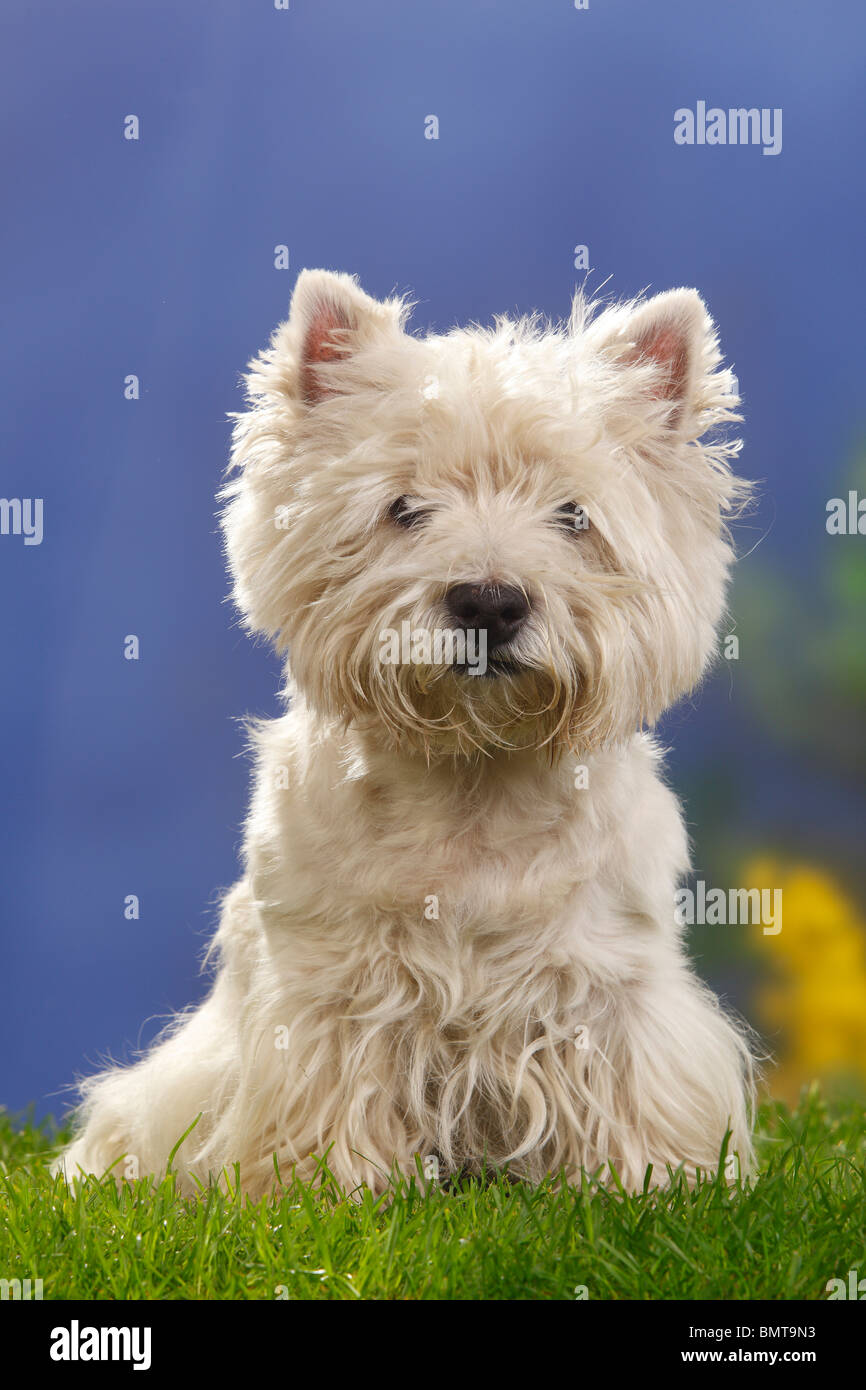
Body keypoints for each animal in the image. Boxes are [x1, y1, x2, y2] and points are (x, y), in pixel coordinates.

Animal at [61, 268, 756, 1195]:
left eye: (574, 516)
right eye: (403, 508)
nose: (490, 602)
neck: (473, 779)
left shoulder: (611, 978)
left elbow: (628, 1080)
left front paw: (647, 1180)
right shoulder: (324, 984)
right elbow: (326, 1083)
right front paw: (321, 1186)